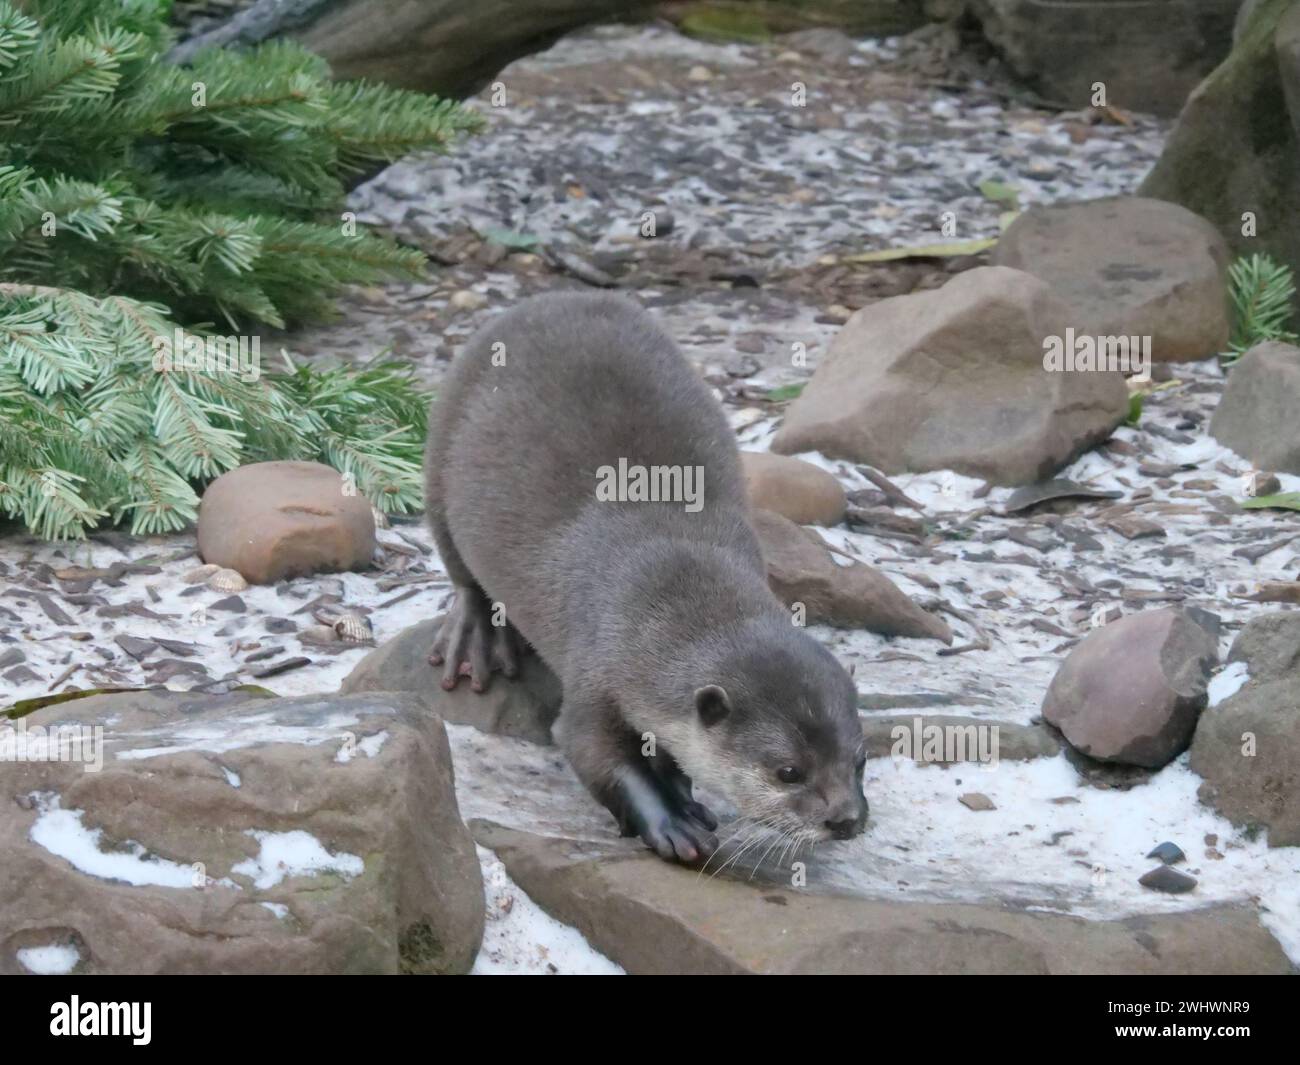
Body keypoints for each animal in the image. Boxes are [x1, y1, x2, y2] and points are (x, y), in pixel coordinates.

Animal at [426, 291, 868, 868]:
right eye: (787, 771)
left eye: (860, 759)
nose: (846, 820)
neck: (674, 577)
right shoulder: (597, 666)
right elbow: (592, 749)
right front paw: (670, 821)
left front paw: (681, 793)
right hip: (440, 453)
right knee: (460, 569)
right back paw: (477, 633)